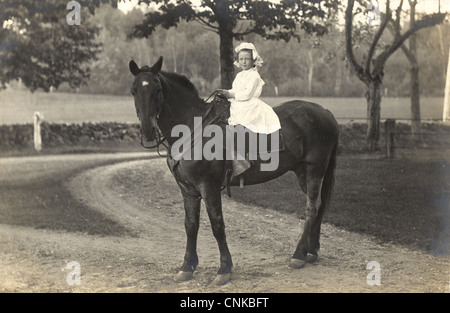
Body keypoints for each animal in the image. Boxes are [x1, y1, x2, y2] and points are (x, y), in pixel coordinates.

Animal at [129, 57, 338, 284]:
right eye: (134, 91)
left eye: (157, 89)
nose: (148, 130)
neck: (192, 127)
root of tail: (324, 112)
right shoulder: (188, 190)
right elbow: (190, 225)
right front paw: (187, 266)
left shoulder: (209, 187)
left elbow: (217, 225)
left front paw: (224, 269)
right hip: (303, 173)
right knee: (319, 206)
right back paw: (311, 251)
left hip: (314, 169)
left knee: (312, 208)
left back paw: (299, 254)